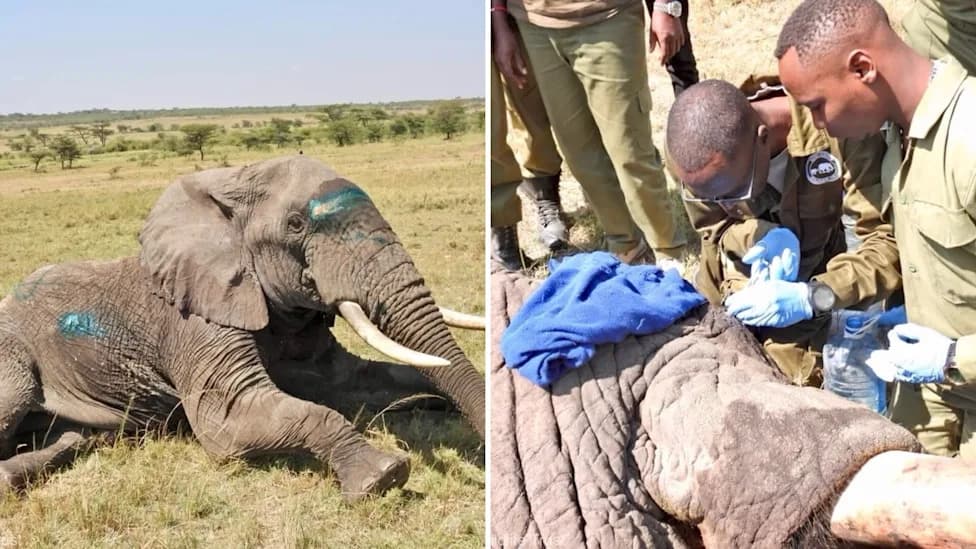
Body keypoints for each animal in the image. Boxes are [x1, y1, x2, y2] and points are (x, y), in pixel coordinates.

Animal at [0, 156, 485, 502]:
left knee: (73, 437)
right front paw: (383, 476)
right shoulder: (194, 320)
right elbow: (228, 421)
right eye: (296, 225)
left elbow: (352, 380)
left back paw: (11, 477)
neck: (227, 191)